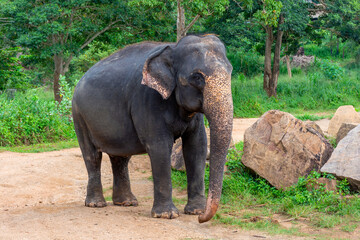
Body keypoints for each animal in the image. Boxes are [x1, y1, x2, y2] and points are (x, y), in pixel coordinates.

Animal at [72, 34, 233, 223]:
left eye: (230, 71)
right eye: (197, 77)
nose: (201, 219)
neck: (173, 48)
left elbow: (197, 146)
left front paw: (195, 211)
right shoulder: (148, 100)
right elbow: (160, 147)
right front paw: (166, 215)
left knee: (120, 157)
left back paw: (126, 202)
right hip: (79, 116)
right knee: (92, 156)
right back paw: (96, 204)